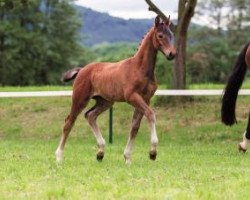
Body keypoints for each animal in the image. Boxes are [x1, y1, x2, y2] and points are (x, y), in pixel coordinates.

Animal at [56, 16, 176, 164]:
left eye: (171, 35)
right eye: (160, 35)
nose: (172, 54)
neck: (140, 69)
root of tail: (82, 70)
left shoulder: (146, 99)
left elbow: (135, 126)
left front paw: (128, 158)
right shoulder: (132, 97)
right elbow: (150, 114)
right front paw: (153, 152)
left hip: (105, 102)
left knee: (90, 115)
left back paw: (100, 153)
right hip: (80, 99)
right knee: (69, 122)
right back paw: (59, 157)